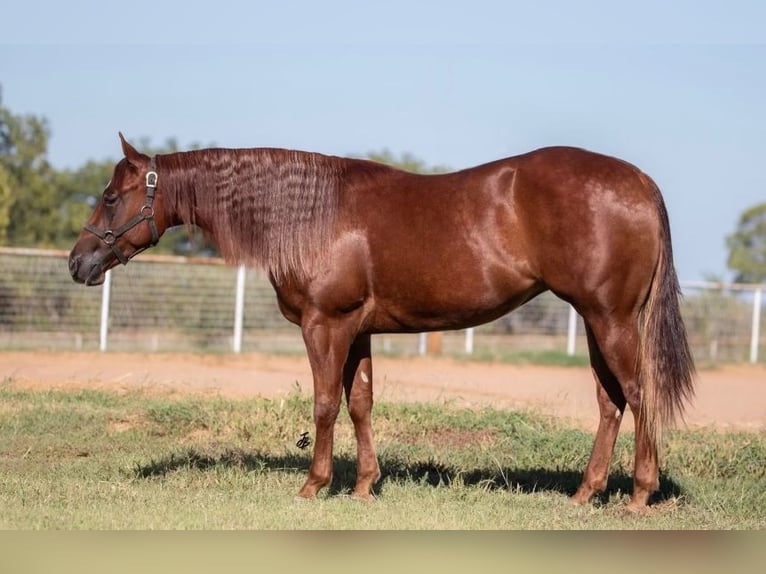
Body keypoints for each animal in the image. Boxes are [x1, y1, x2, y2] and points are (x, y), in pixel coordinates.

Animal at [68, 134, 695, 511]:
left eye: (110, 196)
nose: (78, 262)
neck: (310, 215)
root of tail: (641, 183)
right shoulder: (359, 331)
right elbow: (361, 403)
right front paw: (365, 486)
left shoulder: (326, 325)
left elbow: (324, 404)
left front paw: (314, 485)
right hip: (595, 320)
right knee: (610, 401)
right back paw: (585, 493)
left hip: (610, 319)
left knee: (639, 394)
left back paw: (639, 495)